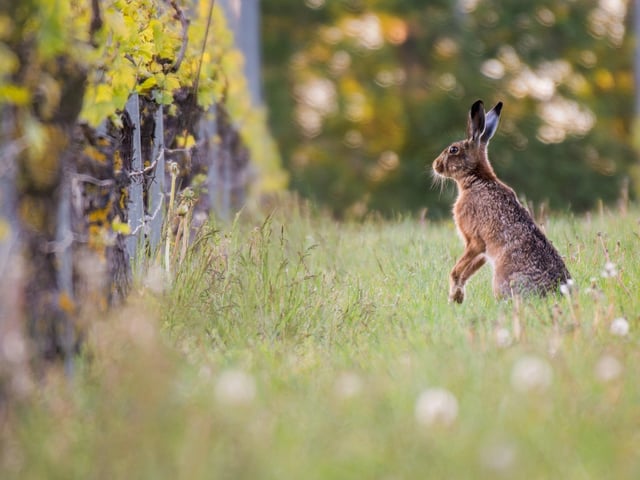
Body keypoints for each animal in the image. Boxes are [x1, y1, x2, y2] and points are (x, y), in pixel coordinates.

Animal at [432, 99, 571, 303]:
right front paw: (457, 297)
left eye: (453, 149)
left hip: (500, 278)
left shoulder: (475, 241)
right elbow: (467, 271)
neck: (476, 178)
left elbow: (456, 270)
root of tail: (554, 293)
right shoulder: (481, 250)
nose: (435, 165)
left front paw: (454, 296)